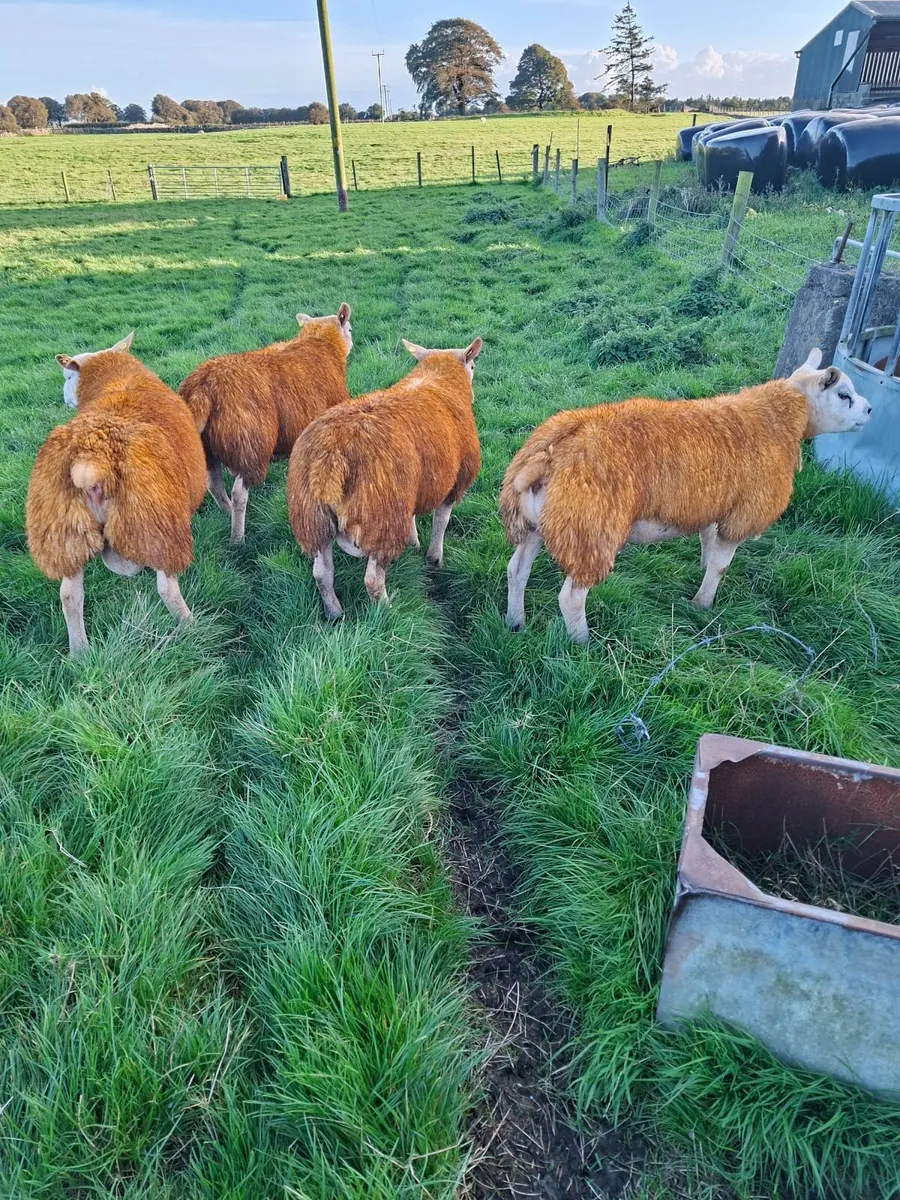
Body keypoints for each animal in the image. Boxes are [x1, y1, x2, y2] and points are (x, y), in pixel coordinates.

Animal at [26, 333, 207, 655]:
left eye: (67, 375)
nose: (65, 398)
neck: (116, 377)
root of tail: (92, 456)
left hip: (64, 531)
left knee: (69, 595)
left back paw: (80, 653)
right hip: (154, 523)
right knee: (166, 587)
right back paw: (190, 626)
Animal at [178, 304, 353, 541]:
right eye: (350, 329)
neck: (320, 345)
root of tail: (203, 388)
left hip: (207, 448)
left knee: (214, 486)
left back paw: (227, 513)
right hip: (249, 445)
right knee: (239, 493)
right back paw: (237, 539)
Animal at [287, 337, 483, 618]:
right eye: (473, 366)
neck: (437, 379)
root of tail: (333, 453)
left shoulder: (413, 488)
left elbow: (413, 517)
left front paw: (413, 543)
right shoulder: (455, 483)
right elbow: (441, 523)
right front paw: (434, 559)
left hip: (312, 518)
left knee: (322, 573)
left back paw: (335, 614)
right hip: (382, 518)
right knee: (372, 580)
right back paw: (389, 612)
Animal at [499, 350, 872, 644]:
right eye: (843, 395)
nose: (869, 410)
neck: (778, 421)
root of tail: (550, 451)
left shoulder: (712, 501)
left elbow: (708, 541)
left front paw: (702, 568)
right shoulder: (743, 513)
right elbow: (722, 566)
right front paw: (702, 604)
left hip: (537, 525)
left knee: (516, 570)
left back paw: (515, 623)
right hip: (590, 531)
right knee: (571, 597)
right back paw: (583, 643)